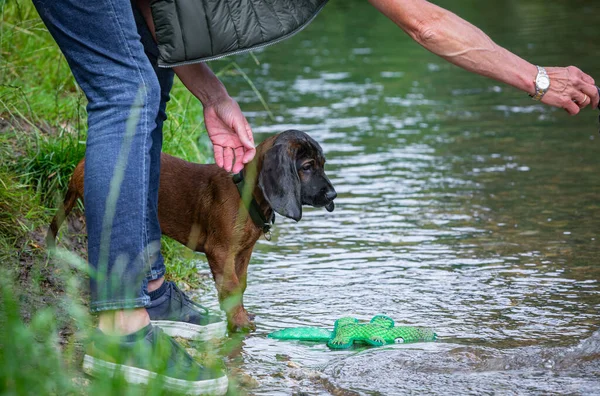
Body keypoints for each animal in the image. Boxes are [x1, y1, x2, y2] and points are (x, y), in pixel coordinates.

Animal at [45, 130, 338, 332]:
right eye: (307, 167)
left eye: (323, 164)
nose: (333, 195)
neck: (247, 193)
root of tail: (82, 164)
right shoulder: (219, 252)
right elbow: (231, 285)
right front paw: (239, 323)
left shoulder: (243, 251)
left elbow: (240, 284)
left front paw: (240, 314)